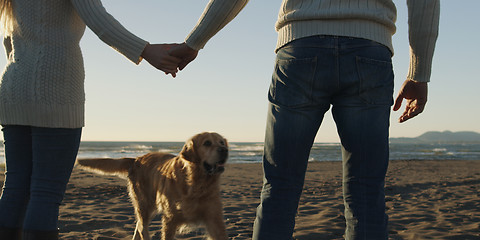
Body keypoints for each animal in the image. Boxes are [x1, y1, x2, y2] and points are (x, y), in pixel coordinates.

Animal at [76, 132, 229, 239]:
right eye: (207, 143)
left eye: (222, 142)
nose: (225, 150)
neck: (195, 183)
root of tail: (136, 159)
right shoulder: (170, 219)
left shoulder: (214, 218)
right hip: (144, 203)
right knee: (142, 228)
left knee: (138, 226)